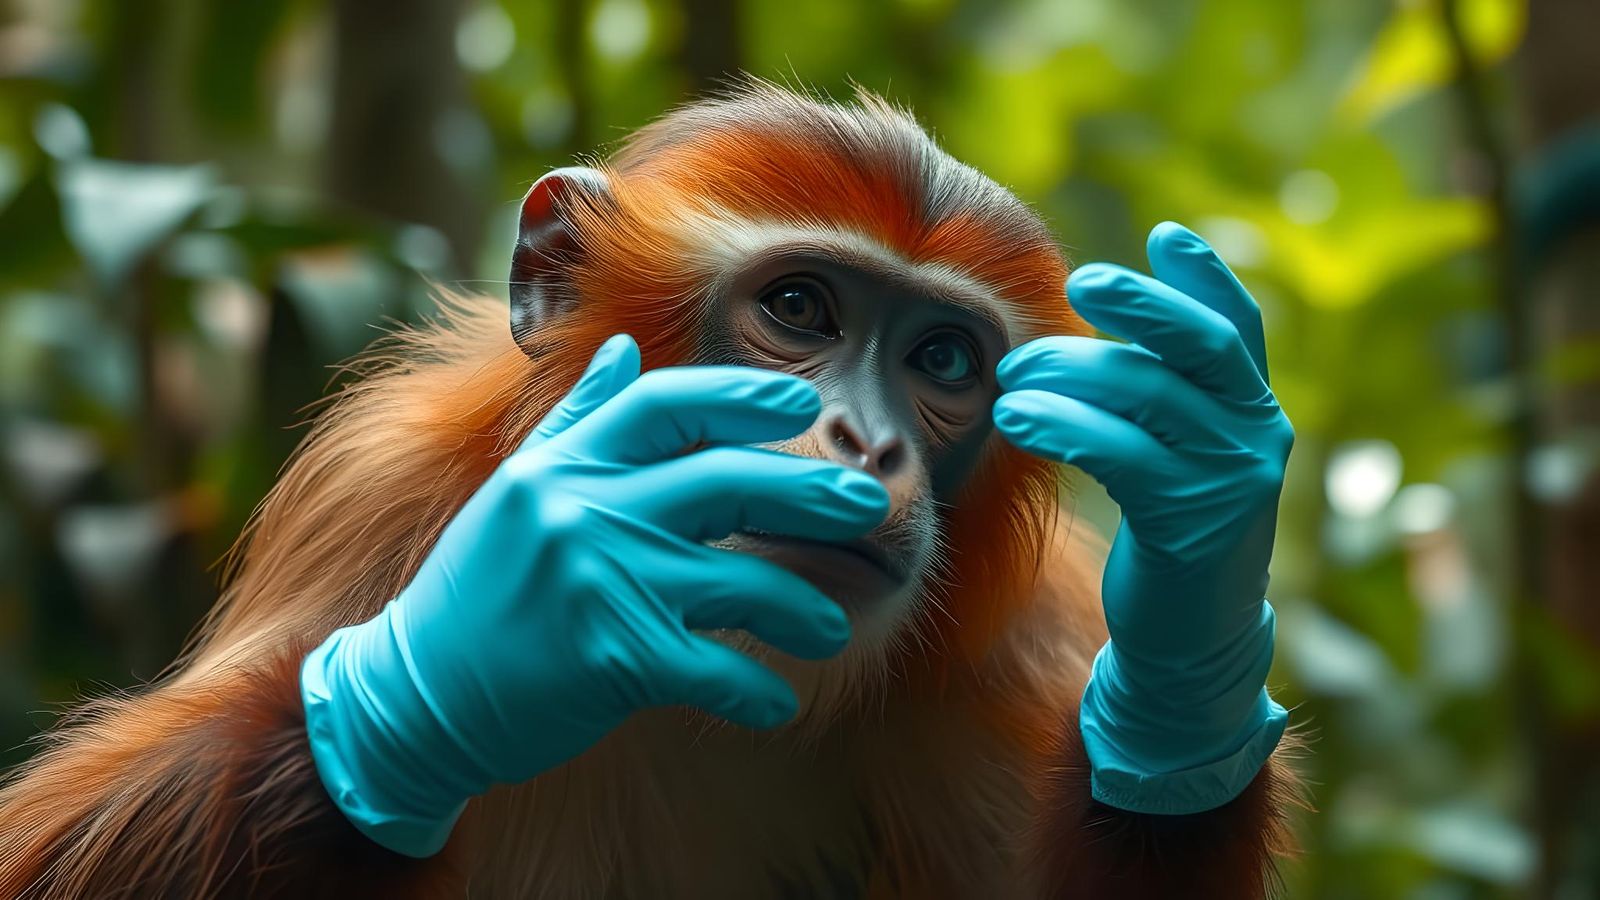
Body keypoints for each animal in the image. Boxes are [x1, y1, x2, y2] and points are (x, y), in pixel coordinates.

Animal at [0, 80, 1301, 899]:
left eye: (942, 361)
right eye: (799, 309)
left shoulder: (1007, 640)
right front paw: (454, 671)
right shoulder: (385, 492)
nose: (869, 442)